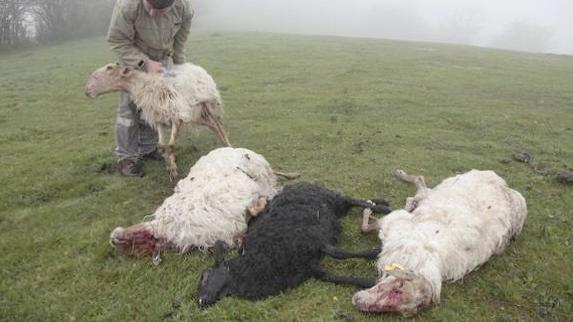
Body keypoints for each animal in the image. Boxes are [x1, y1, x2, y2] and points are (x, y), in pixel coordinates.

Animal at [84, 61, 230, 180]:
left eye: (107, 69)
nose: (86, 91)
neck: (147, 86)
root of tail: (196, 67)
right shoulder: (160, 120)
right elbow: (162, 146)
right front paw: (170, 166)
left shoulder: (177, 116)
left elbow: (170, 146)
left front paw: (172, 170)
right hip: (196, 114)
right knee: (214, 126)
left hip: (210, 105)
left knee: (219, 126)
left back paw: (228, 146)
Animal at [196, 181, 388, 306]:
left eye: (204, 276)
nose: (200, 301)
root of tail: (298, 184)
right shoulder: (309, 267)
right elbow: (334, 277)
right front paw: (369, 282)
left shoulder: (313, 240)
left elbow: (340, 254)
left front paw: (376, 252)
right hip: (335, 207)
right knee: (355, 201)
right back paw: (379, 201)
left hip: (331, 200)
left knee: (352, 199)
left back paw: (384, 207)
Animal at [354, 170, 528, 316]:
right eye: (398, 288)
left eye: (402, 309)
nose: (357, 301)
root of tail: (503, 183)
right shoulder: (395, 222)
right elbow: (366, 227)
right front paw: (369, 208)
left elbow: (367, 226)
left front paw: (370, 210)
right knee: (420, 185)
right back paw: (401, 179)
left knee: (419, 190)